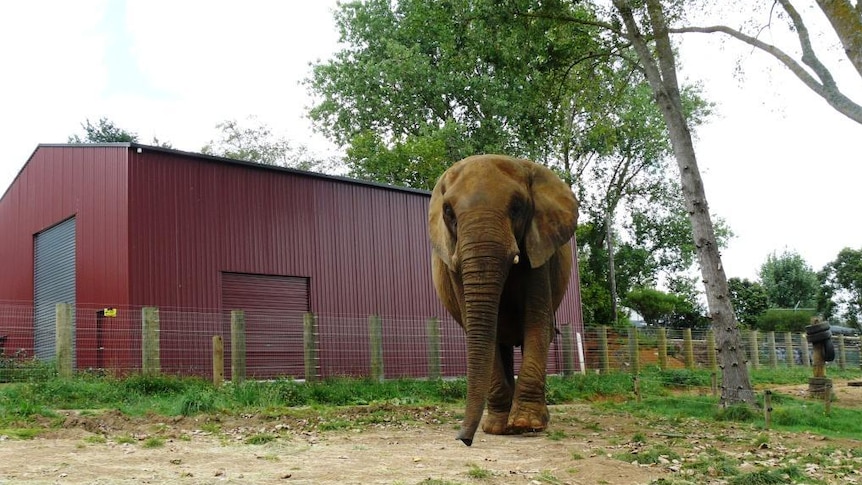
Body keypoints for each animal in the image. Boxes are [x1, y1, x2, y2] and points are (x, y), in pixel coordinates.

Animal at [430, 153, 580, 444]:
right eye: (448, 211)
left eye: (518, 207)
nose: (463, 439)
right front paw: (497, 428)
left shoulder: (539, 247)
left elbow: (536, 323)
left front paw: (525, 425)